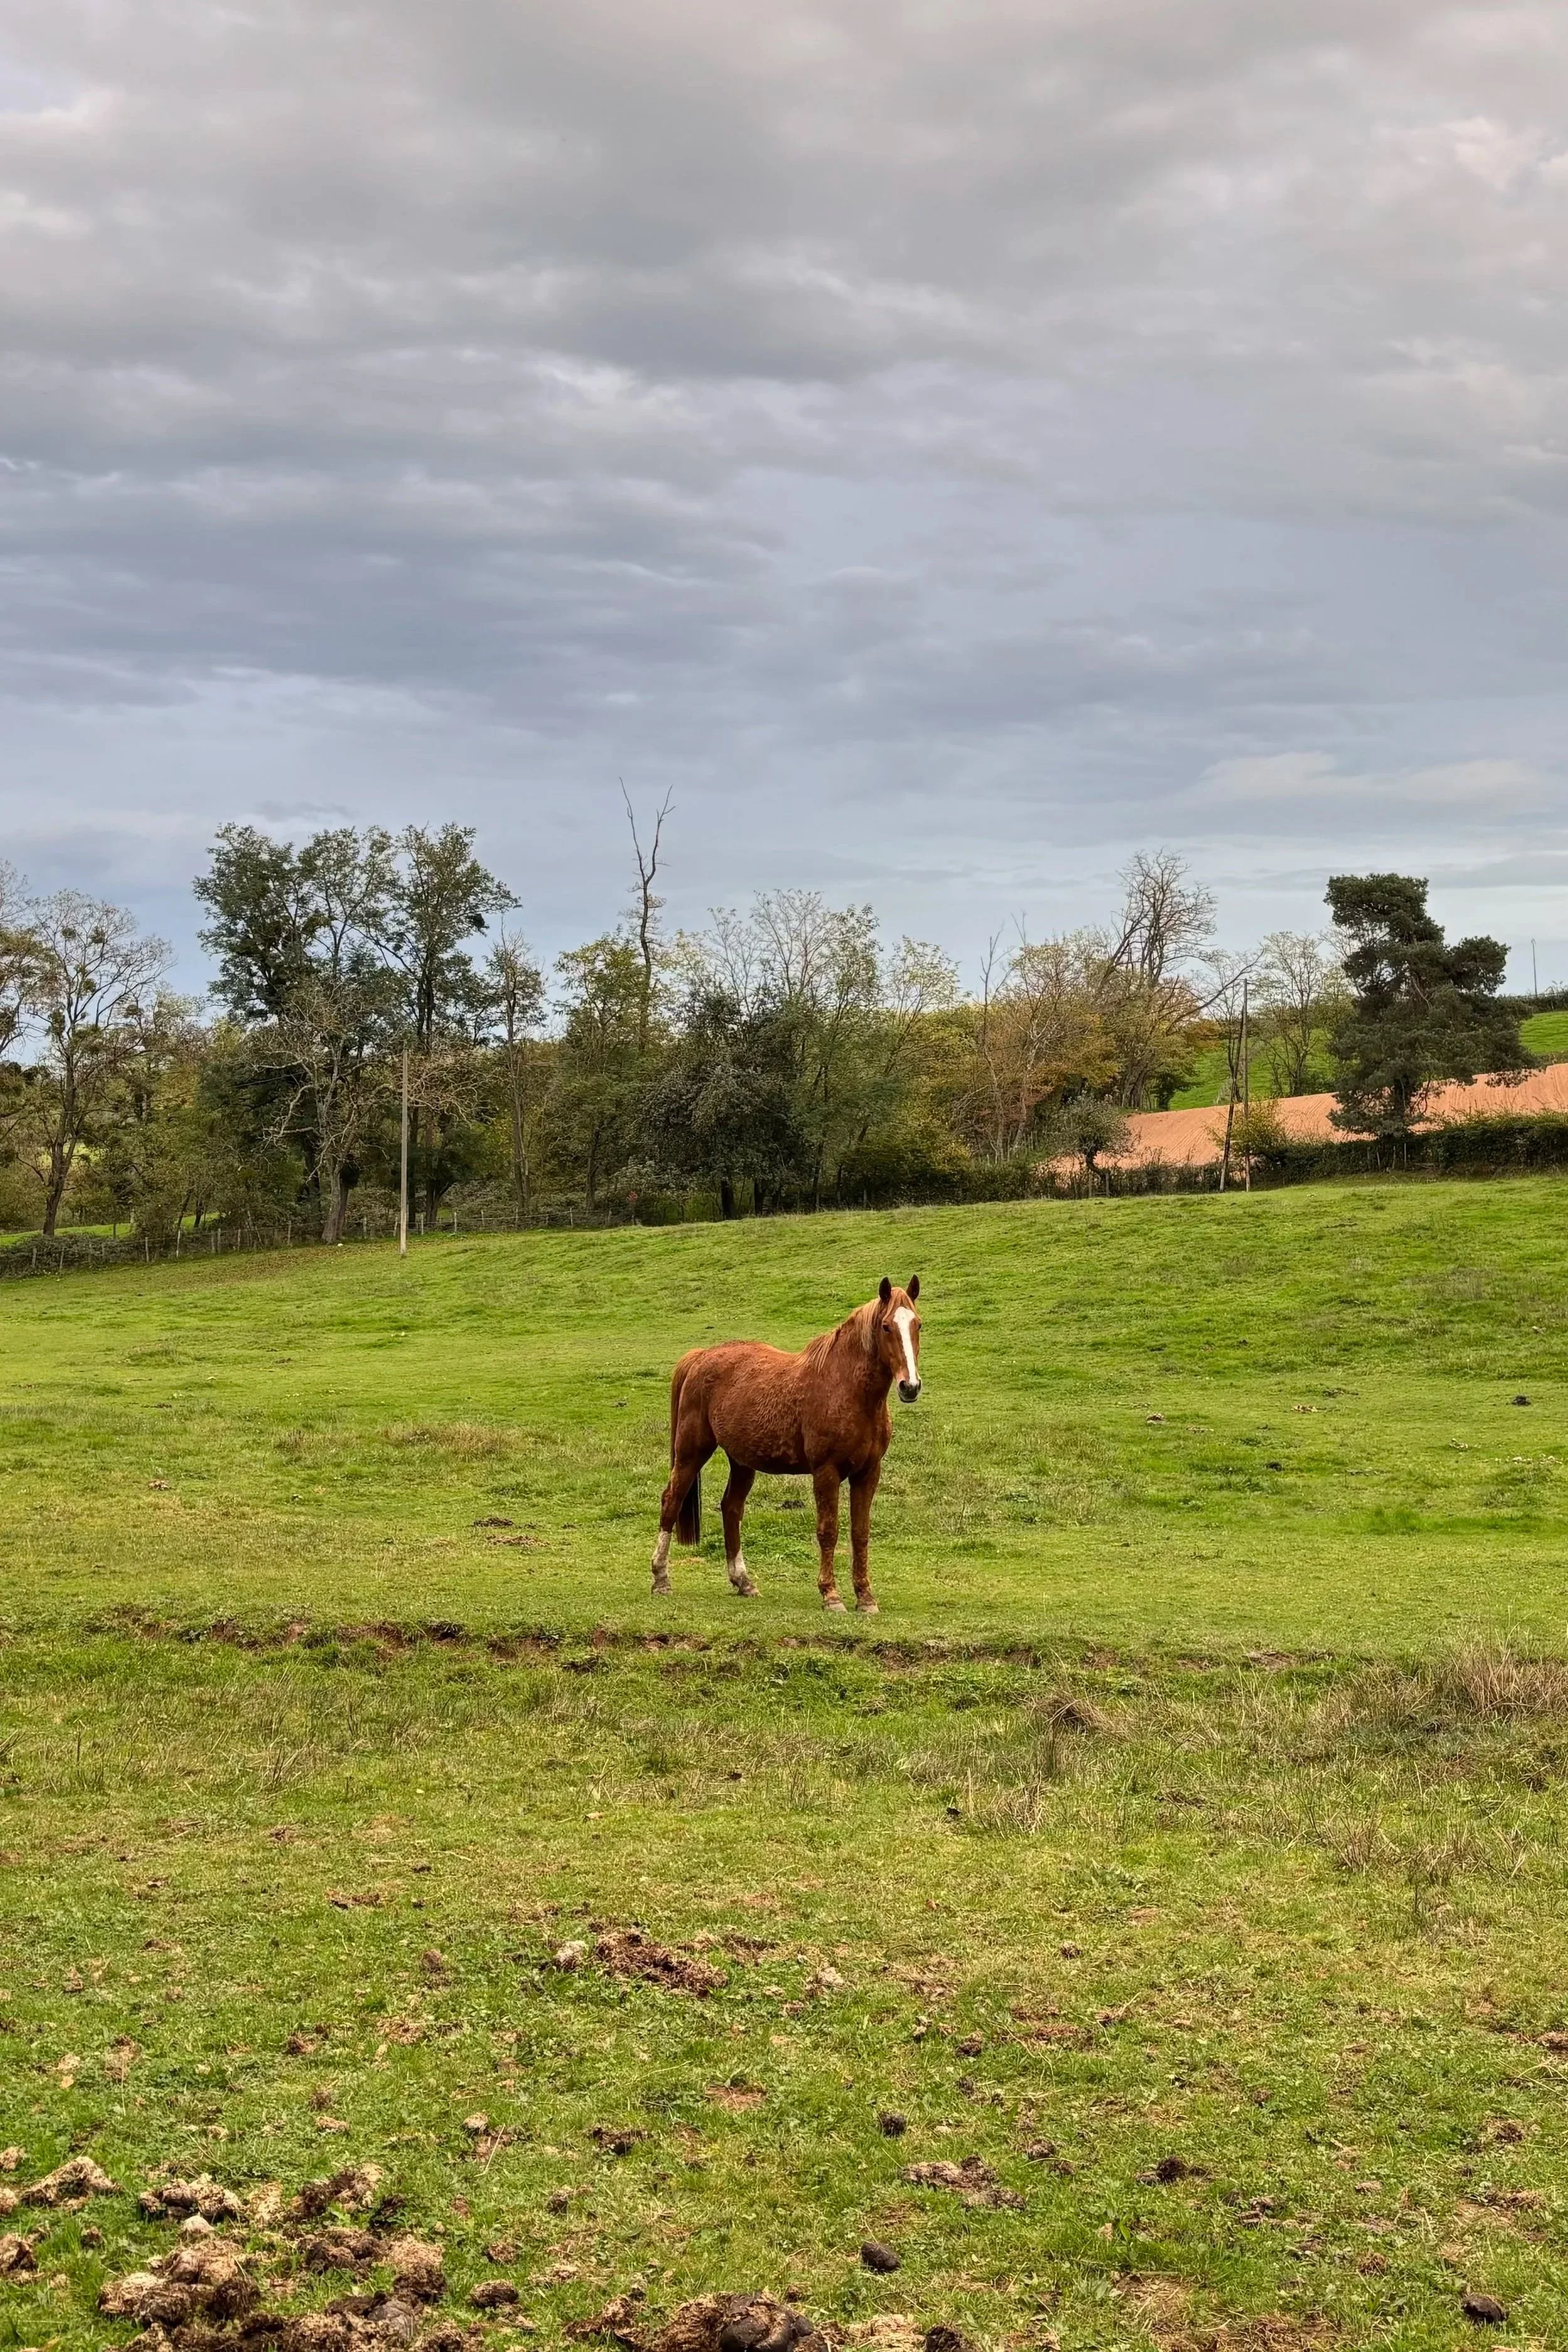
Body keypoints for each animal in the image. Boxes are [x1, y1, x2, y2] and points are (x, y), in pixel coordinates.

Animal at [650, 1275, 922, 1614]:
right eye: (886, 1326)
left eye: (918, 1325)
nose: (910, 1386)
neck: (846, 1390)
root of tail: (700, 1357)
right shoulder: (826, 1472)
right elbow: (828, 1531)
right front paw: (831, 1595)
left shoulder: (868, 1473)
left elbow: (860, 1534)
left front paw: (865, 1597)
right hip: (691, 1453)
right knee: (671, 1501)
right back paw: (661, 1579)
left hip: (742, 1462)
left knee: (731, 1509)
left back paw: (744, 1582)